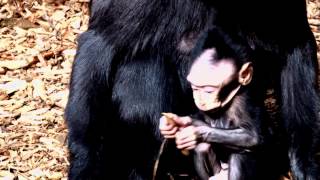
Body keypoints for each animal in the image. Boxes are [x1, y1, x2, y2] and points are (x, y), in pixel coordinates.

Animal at [160, 27, 288, 179]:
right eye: (195, 88)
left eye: (209, 90)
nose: (201, 99)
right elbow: (198, 116)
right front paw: (174, 124)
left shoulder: (243, 101)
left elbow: (253, 137)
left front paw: (195, 133)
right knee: (203, 147)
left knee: (241, 153)